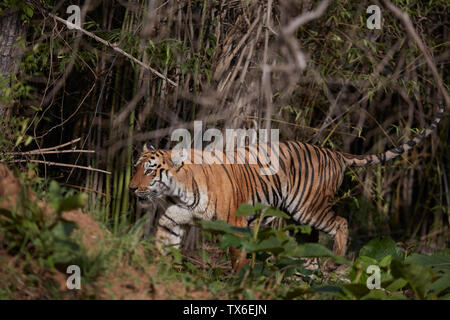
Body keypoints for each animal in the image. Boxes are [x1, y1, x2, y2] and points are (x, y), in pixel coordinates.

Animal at [129, 101, 442, 268]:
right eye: (135, 169)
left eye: (149, 170)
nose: (132, 188)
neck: (178, 191)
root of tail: (336, 153)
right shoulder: (172, 221)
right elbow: (162, 246)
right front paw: (155, 273)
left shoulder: (234, 222)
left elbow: (237, 254)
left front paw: (239, 277)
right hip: (287, 216)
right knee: (308, 242)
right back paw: (307, 266)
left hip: (308, 208)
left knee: (341, 223)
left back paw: (335, 262)